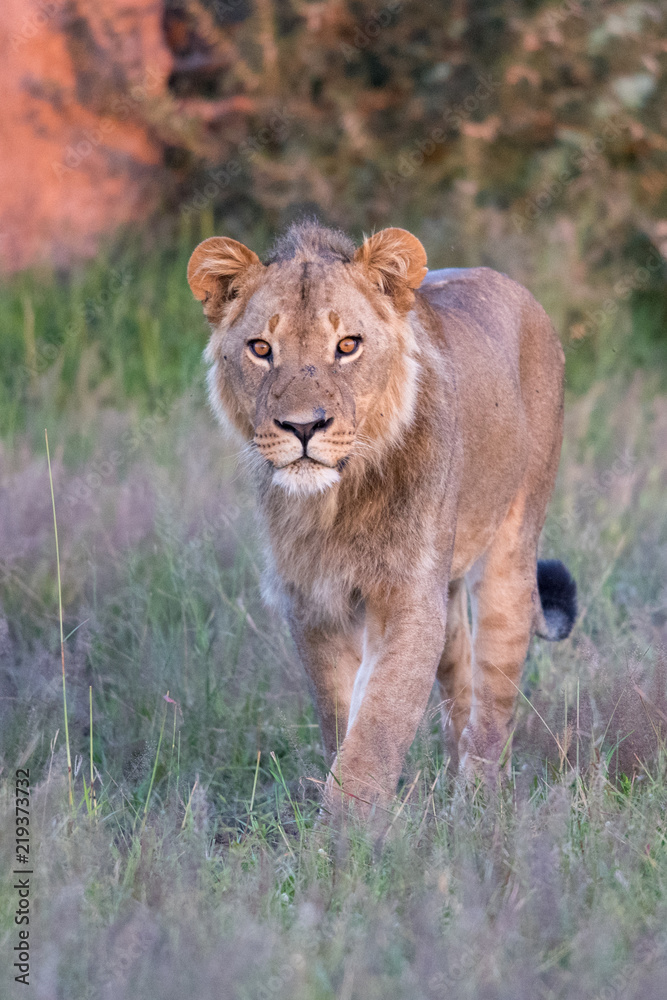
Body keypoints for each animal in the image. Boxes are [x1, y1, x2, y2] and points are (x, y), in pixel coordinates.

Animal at [187, 220, 577, 816]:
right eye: (261, 349)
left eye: (347, 346)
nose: (303, 427)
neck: (338, 501)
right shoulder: (314, 601)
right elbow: (342, 718)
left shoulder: (409, 596)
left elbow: (378, 722)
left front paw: (347, 830)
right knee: (460, 691)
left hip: (512, 554)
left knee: (492, 707)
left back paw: (477, 809)